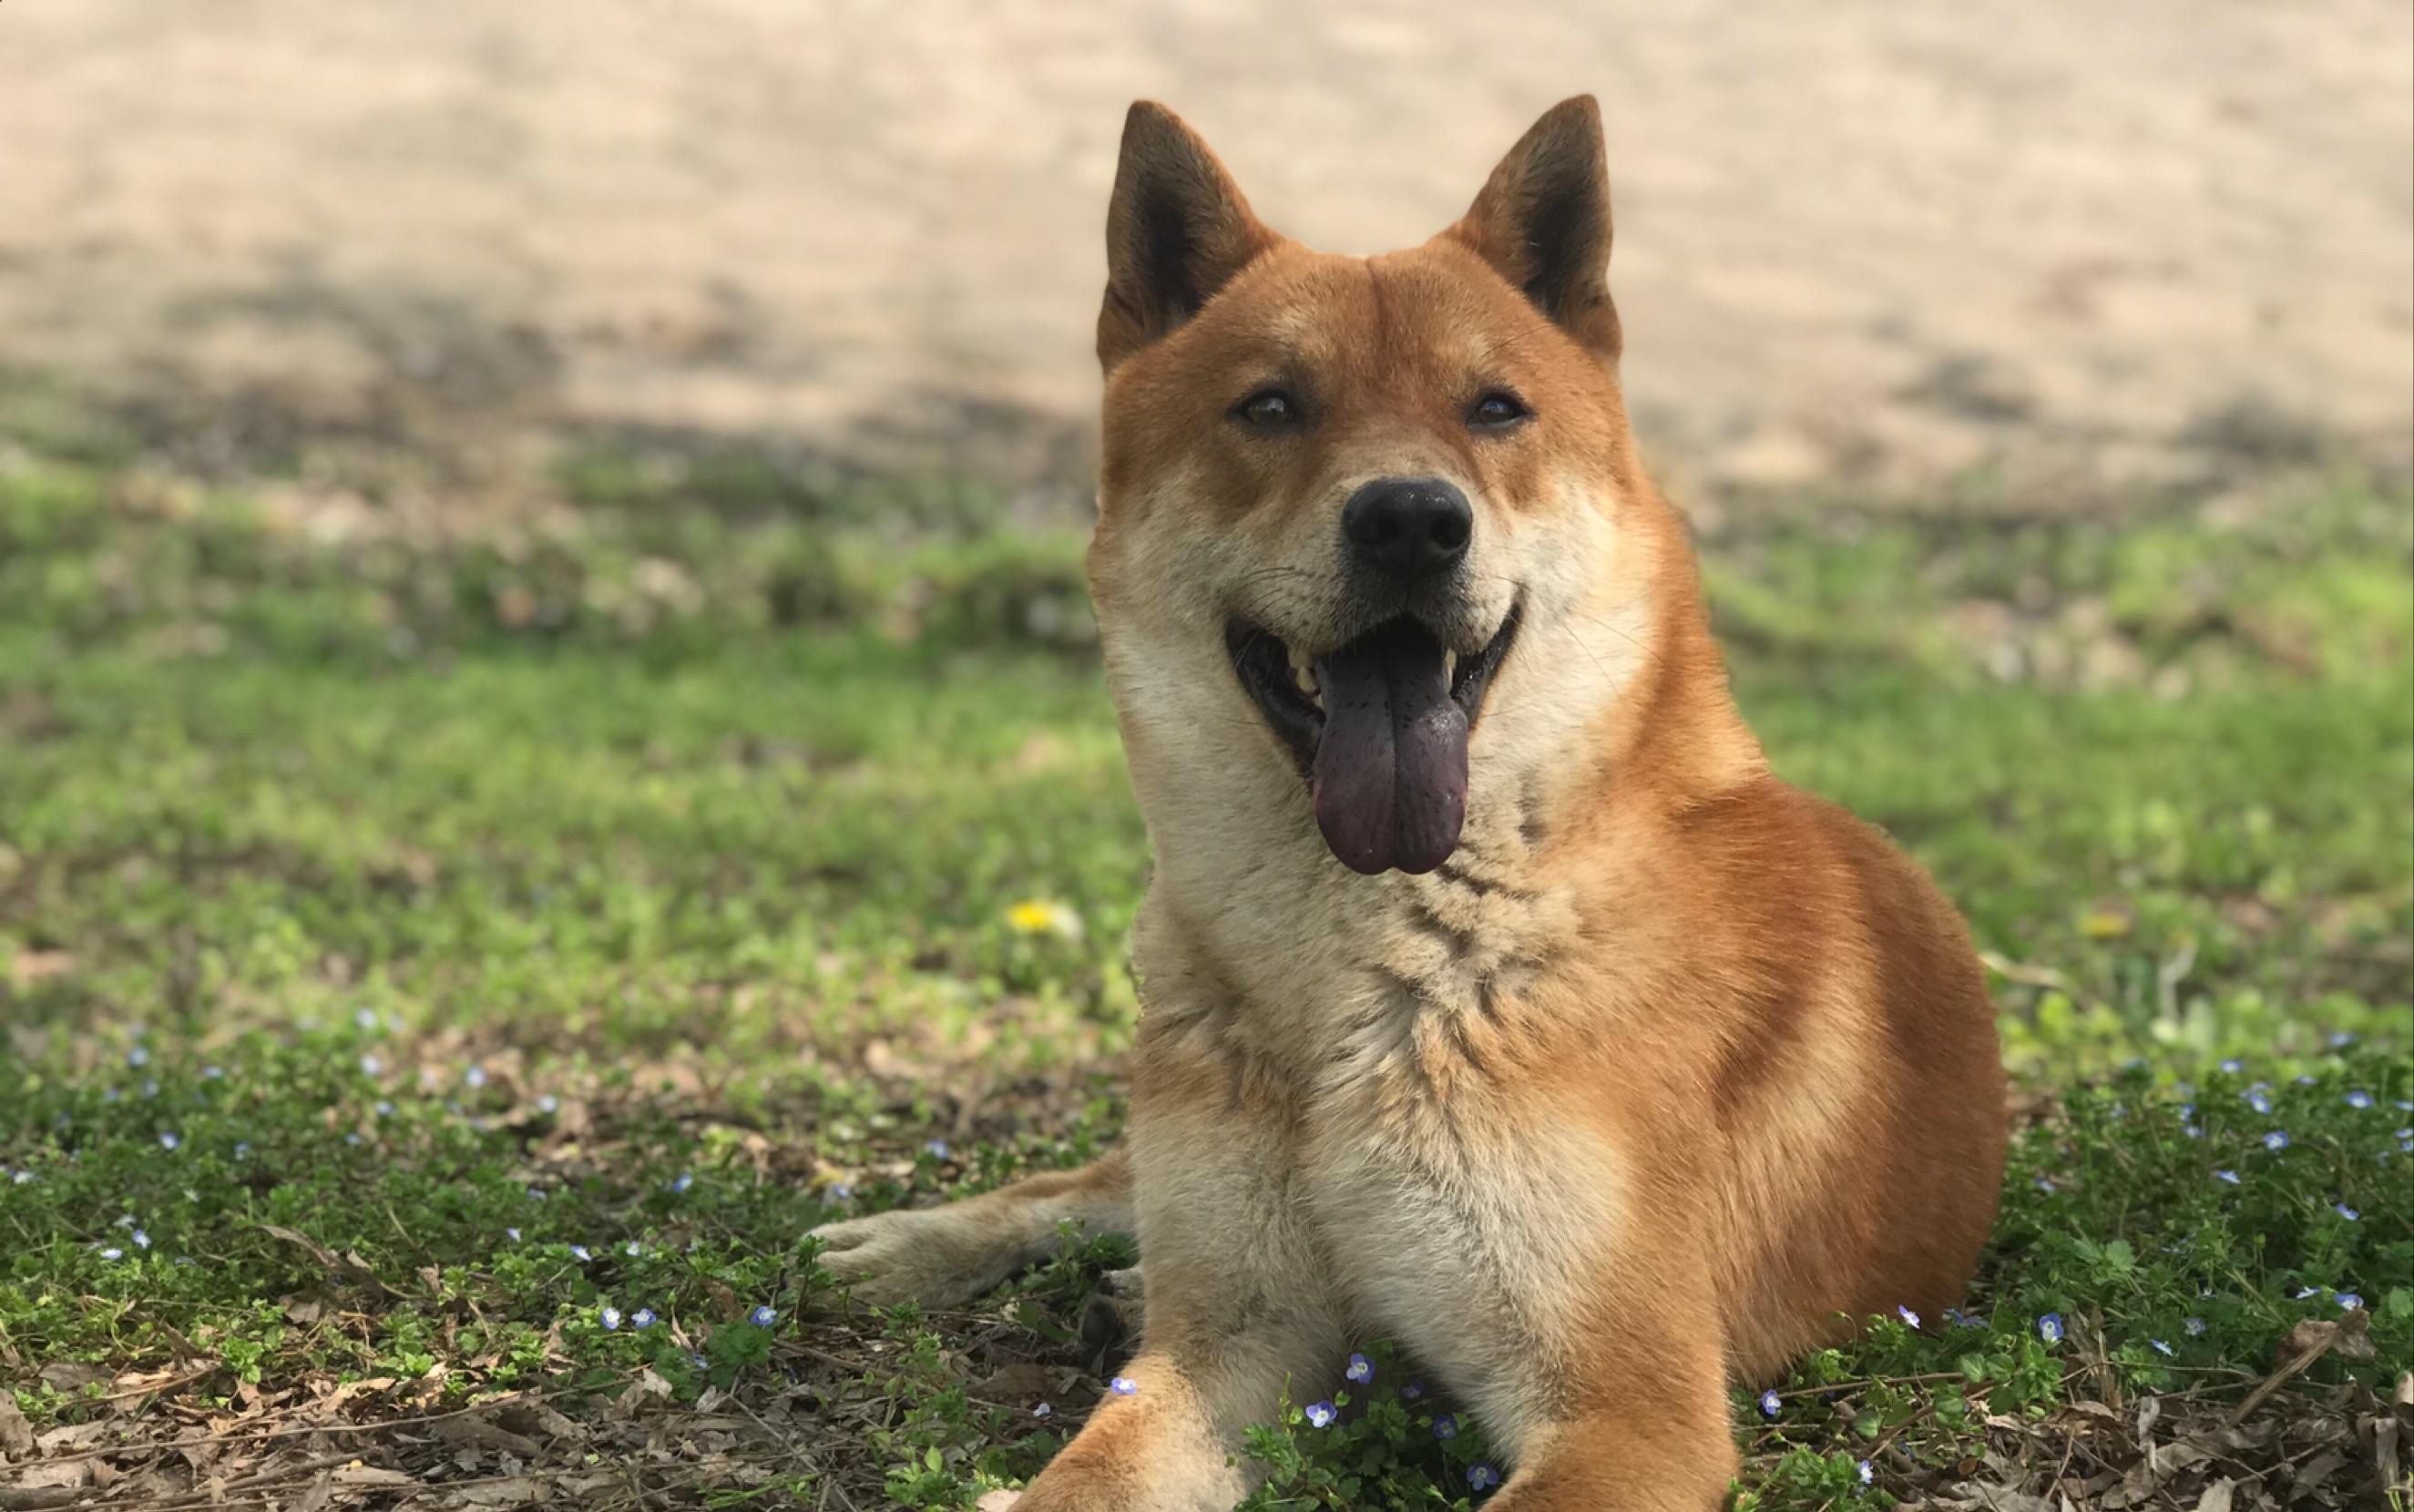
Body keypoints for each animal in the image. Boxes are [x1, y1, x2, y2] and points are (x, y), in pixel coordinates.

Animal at [821, 97, 2008, 1507]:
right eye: (1271, 406)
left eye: (1494, 409)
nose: (1407, 521)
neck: (1378, 960)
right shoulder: (1225, 1344)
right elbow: (1089, 1474)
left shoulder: (1626, 1408)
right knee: (1090, 1185)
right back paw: (914, 1243)